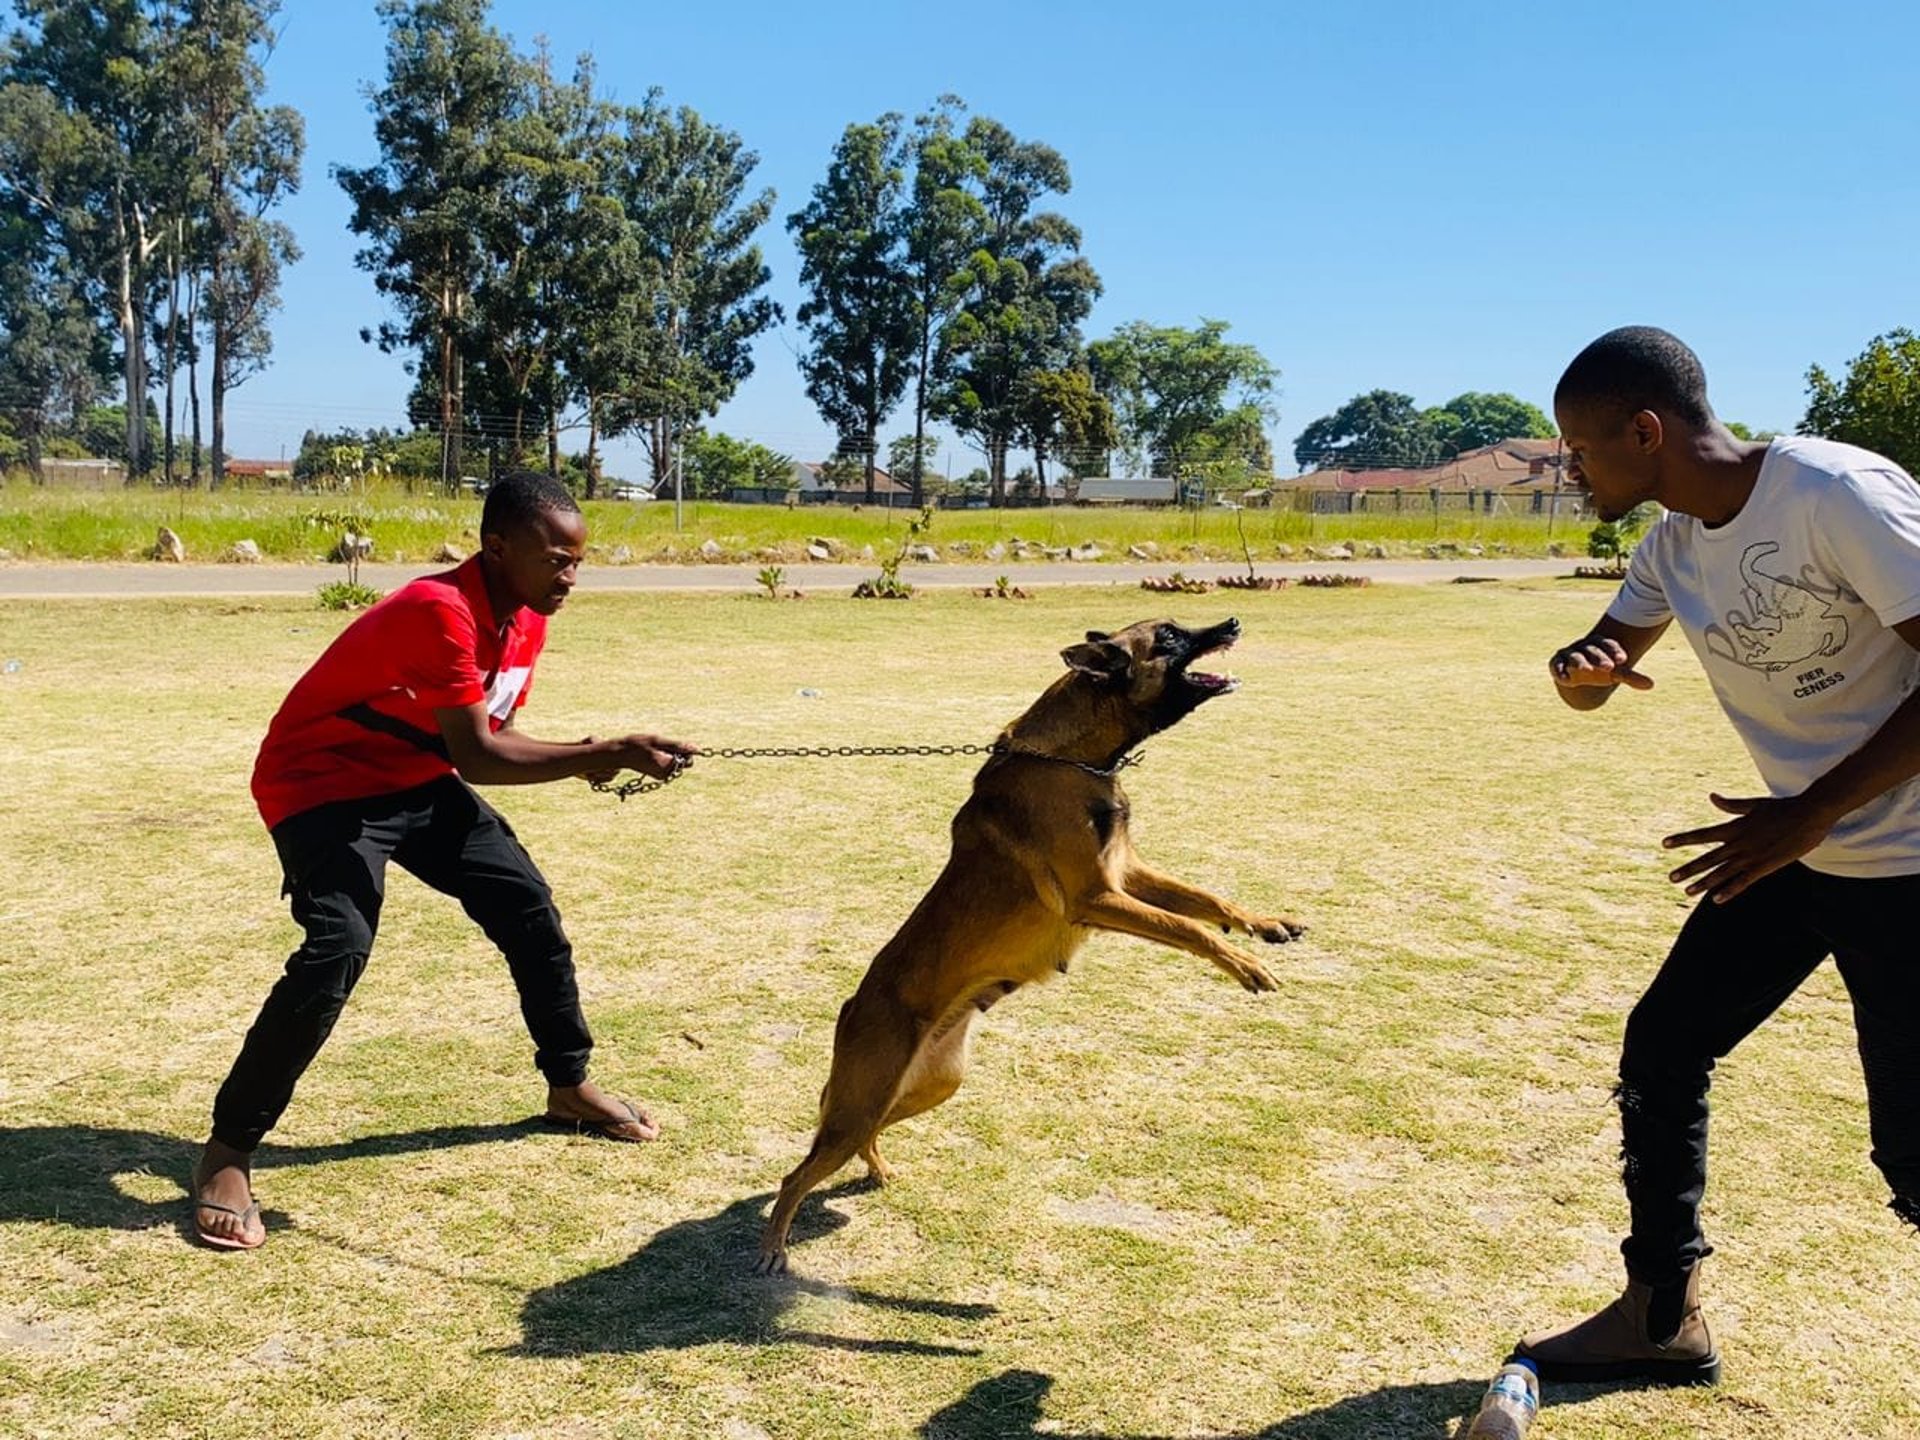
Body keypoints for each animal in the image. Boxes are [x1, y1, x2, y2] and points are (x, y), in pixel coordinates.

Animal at [756, 622, 1297, 1274]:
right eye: (1168, 635)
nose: (1232, 624)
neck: (1071, 758)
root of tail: (850, 1008)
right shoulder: (1097, 896)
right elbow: (1188, 927)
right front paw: (1244, 963)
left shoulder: (1128, 874)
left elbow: (1208, 901)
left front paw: (1264, 925)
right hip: (863, 1100)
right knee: (796, 1175)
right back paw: (773, 1246)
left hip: (928, 1088)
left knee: (860, 1140)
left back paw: (878, 1171)